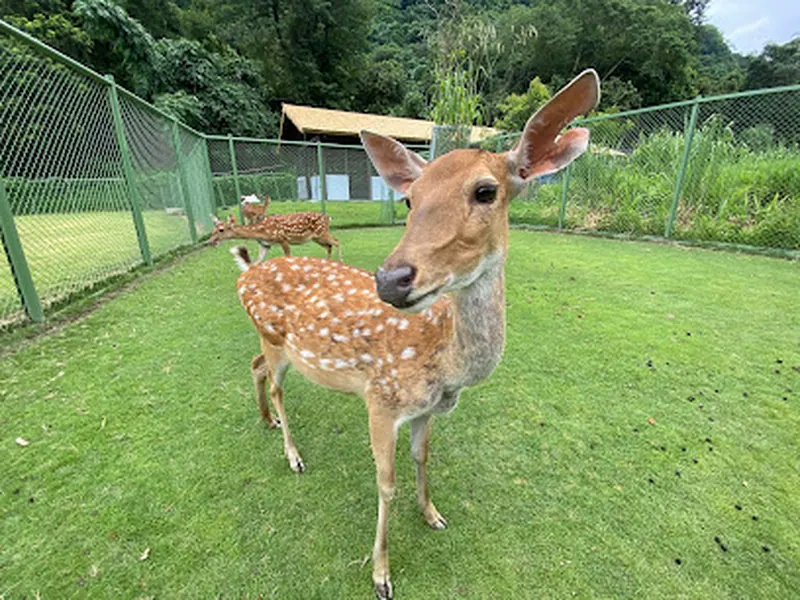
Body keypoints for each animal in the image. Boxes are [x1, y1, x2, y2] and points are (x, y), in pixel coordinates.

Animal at [209, 211, 342, 262]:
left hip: (322, 232)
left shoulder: (283, 239)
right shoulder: (265, 245)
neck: (263, 232)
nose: (209, 242)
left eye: (221, 230)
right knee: (329, 246)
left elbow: (288, 257)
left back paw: (340, 261)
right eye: (213, 230)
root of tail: (328, 218)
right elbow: (258, 262)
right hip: (316, 238)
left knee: (336, 241)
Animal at [230, 70, 599, 599]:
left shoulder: (426, 410)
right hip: (275, 337)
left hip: (270, 341)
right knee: (275, 380)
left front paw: (432, 514)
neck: (445, 367)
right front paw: (381, 574)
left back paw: (267, 421)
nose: (391, 279)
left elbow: (423, 458)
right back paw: (293, 453)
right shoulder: (380, 400)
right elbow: (386, 482)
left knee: (256, 367)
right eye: (409, 198)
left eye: (485, 191)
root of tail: (243, 273)